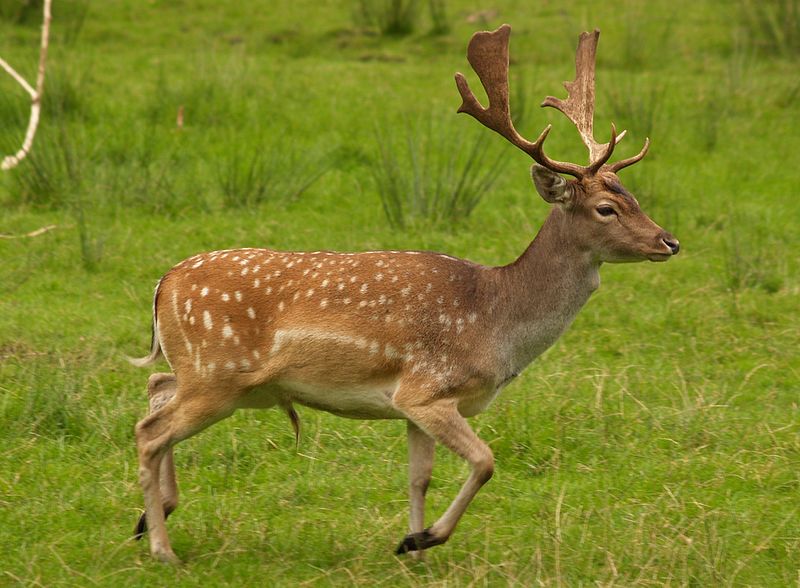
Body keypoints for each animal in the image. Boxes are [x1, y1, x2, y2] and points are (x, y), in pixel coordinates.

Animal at [133, 25, 680, 564]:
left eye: (635, 196)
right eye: (607, 208)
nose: (669, 242)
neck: (496, 321)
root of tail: (163, 284)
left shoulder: (414, 405)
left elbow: (420, 477)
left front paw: (412, 549)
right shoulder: (427, 389)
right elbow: (485, 461)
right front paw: (423, 538)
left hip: (213, 376)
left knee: (157, 388)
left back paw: (150, 517)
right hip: (217, 374)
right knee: (150, 432)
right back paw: (162, 548)